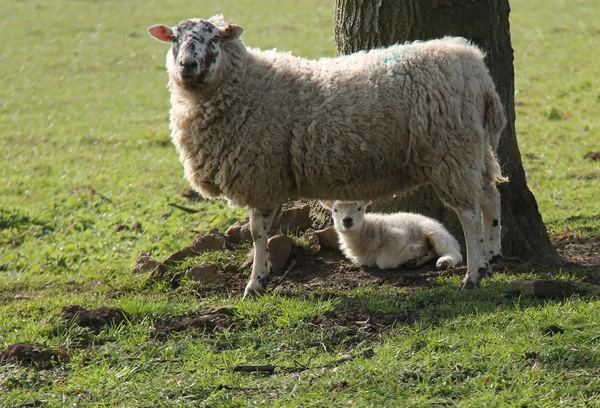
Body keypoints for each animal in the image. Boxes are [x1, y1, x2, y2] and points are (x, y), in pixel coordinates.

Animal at [322, 201, 462, 270]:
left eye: (359, 208)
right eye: (335, 210)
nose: (347, 220)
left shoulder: (398, 237)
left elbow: (383, 262)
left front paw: (415, 250)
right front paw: (416, 253)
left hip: (435, 233)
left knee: (455, 253)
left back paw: (444, 262)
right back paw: (415, 261)